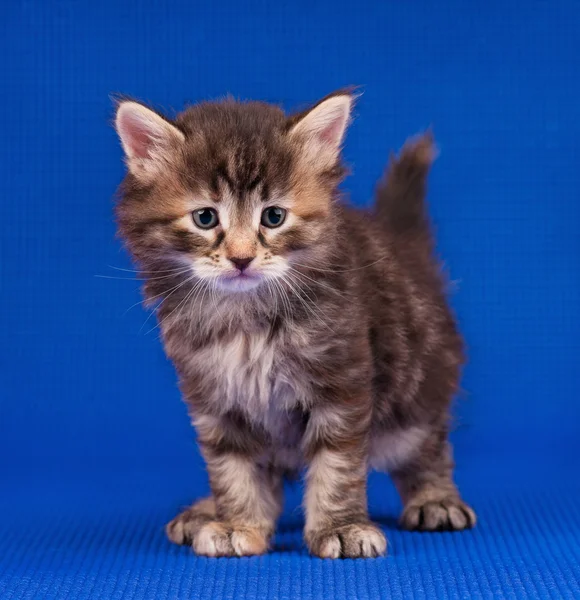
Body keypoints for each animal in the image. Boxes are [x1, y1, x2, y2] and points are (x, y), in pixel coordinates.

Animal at [111, 89, 474, 556]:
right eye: (205, 218)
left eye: (274, 217)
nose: (242, 258)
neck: (245, 318)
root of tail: (405, 245)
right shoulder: (215, 399)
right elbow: (231, 467)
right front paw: (239, 524)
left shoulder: (343, 384)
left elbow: (337, 466)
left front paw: (341, 527)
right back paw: (207, 510)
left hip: (415, 392)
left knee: (429, 445)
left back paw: (435, 499)